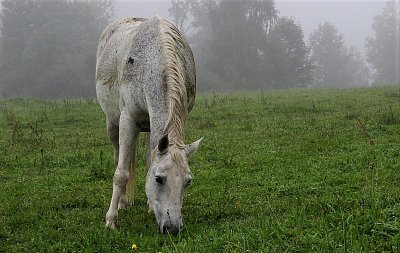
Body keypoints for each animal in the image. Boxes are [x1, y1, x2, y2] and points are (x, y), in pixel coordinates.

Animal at [95, 16, 202, 235]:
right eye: (159, 179)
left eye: (188, 181)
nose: (172, 228)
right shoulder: (128, 120)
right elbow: (121, 173)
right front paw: (111, 221)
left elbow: (149, 161)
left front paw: (152, 207)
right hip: (113, 124)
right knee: (119, 157)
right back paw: (122, 202)